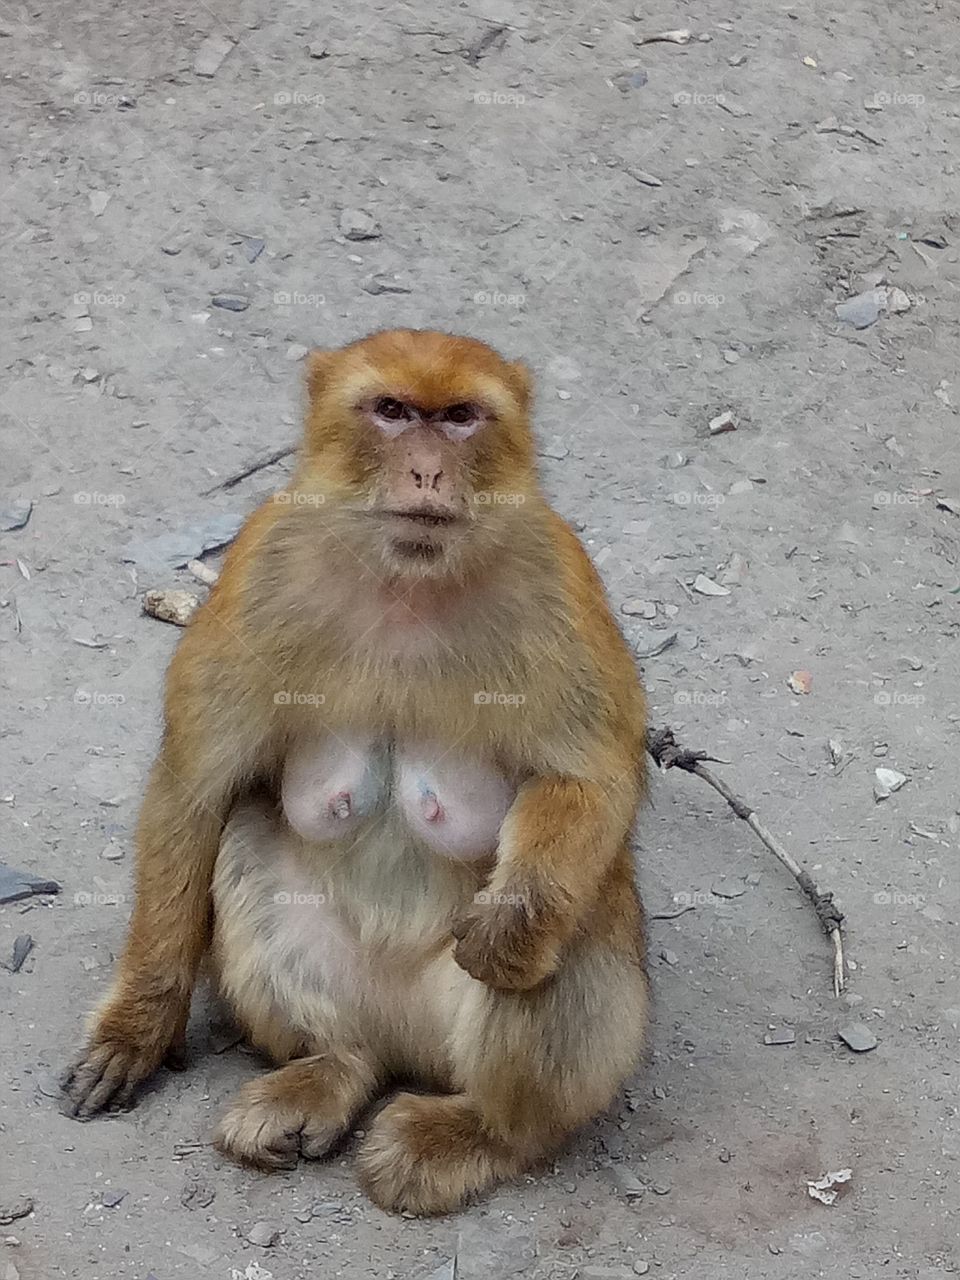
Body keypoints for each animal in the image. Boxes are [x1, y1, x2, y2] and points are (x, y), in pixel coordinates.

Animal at [62, 329, 650, 1215]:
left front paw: (509, 928)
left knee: (579, 914)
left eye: (461, 417)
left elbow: (594, 778)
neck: (407, 576)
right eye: (393, 411)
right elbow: (197, 787)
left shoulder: (557, 578)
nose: (427, 472)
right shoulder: (262, 565)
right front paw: (142, 1023)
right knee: (247, 832)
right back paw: (331, 1068)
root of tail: (403, 1040)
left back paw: (485, 1133)